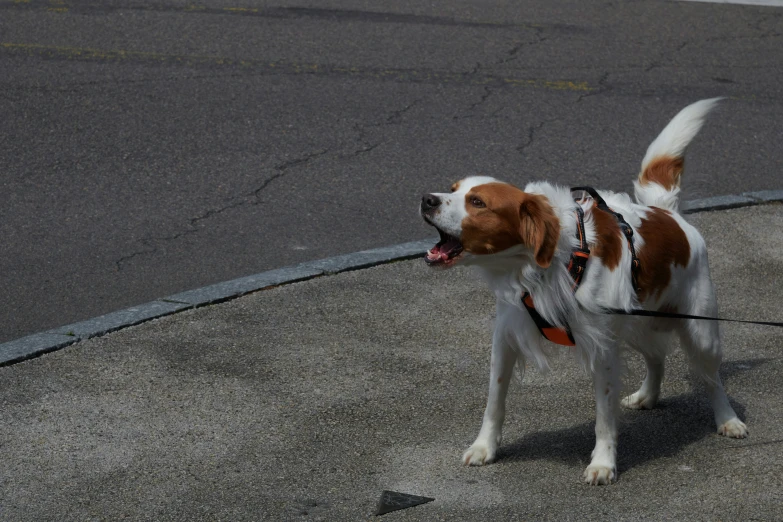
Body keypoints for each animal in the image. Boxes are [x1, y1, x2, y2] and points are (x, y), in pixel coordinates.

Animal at [420, 98, 752, 484]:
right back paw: (647, 396)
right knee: (657, 357)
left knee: (712, 379)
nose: (427, 199)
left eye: (477, 203)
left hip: (700, 330)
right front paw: (484, 447)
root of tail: (666, 213)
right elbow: (494, 400)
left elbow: (604, 418)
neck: (546, 264)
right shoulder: (507, 335)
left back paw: (728, 419)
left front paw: (603, 463)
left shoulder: (603, 347)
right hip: (635, 324)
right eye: (452, 188)